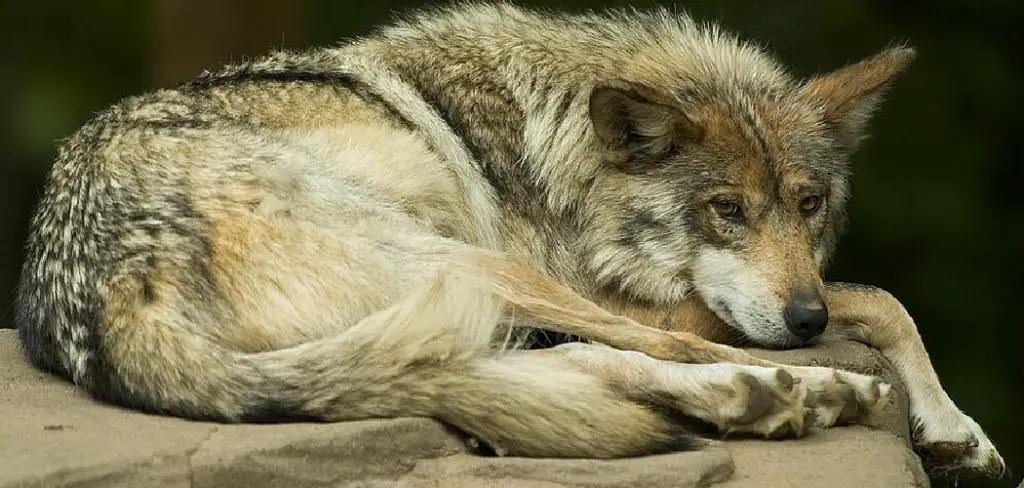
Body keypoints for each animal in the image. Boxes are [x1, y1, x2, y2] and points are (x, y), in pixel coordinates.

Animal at [16, 2, 1004, 479]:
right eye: (725, 209)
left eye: (808, 205)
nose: (801, 320)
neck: (556, 142)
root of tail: (105, 291)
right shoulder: (624, 292)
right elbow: (876, 297)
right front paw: (945, 420)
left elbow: (880, 299)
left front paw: (954, 429)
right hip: (471, 265)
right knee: (649, 351)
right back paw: (806, 390)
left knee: (554, 369)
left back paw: (761, 396)